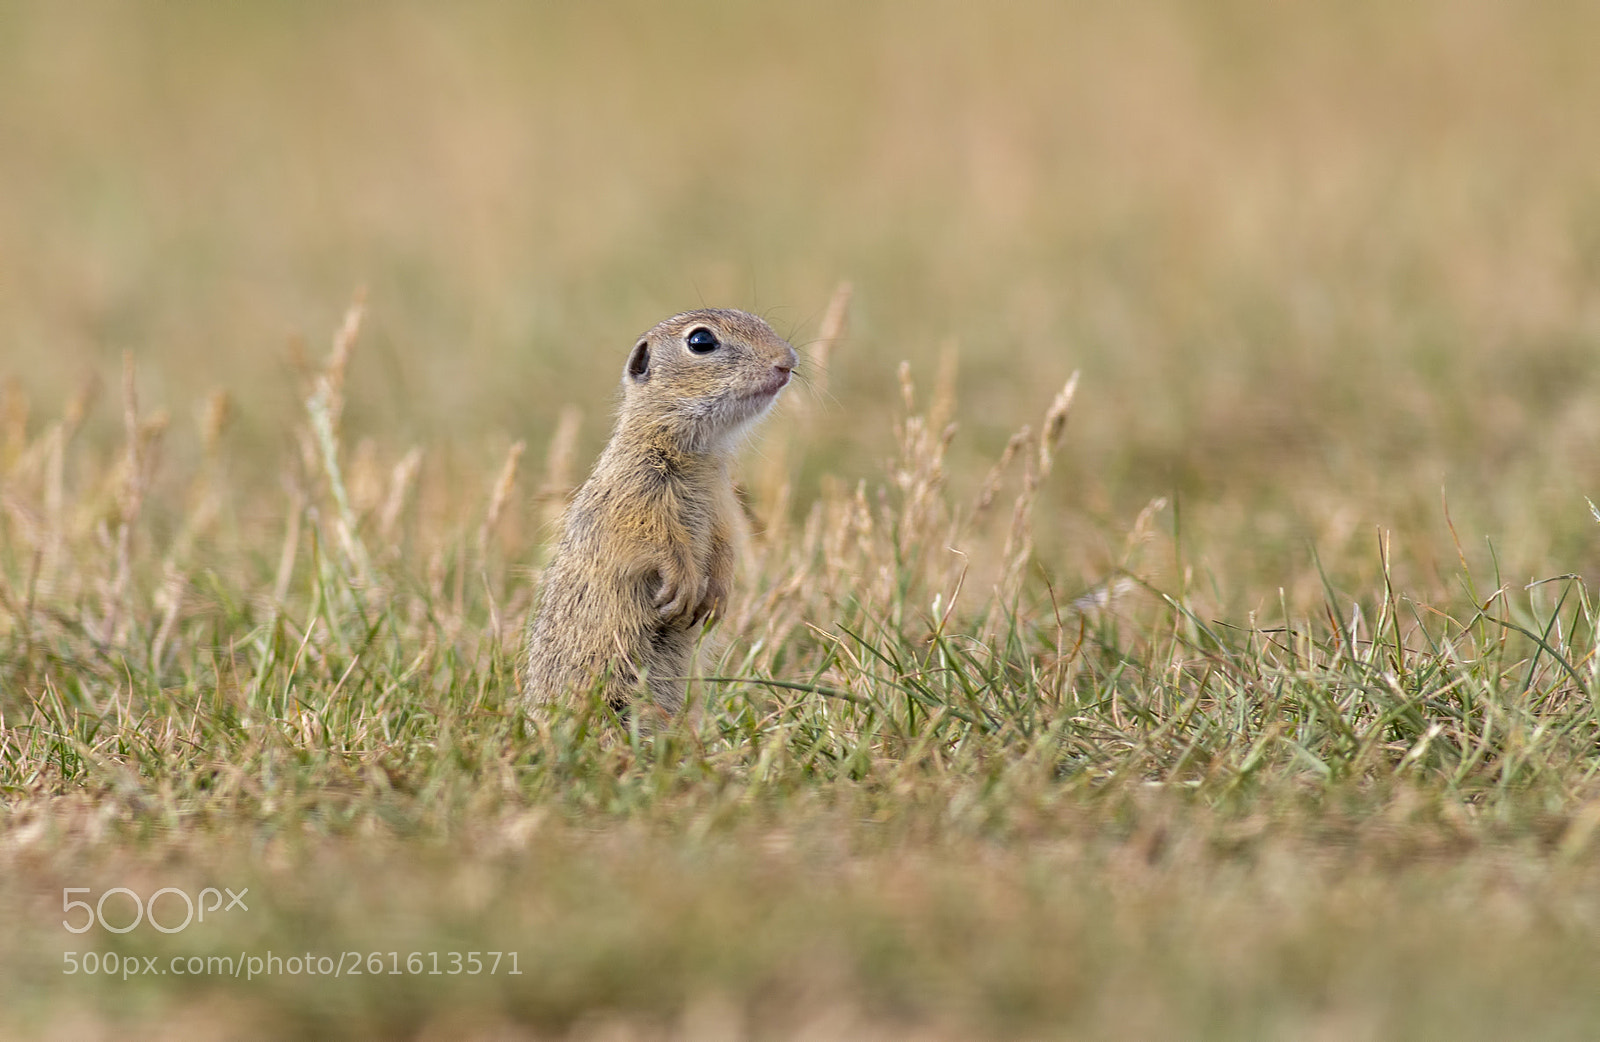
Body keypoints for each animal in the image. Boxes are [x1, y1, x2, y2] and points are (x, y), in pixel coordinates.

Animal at [520, 308, 798, 718]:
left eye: (761, 321)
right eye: (701, 341)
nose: (787, 361)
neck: (696, 451)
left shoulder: (722, 503)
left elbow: (725, 544)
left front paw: (718, 596)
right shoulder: (635, 498)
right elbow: (658, 543)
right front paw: (683, 585)